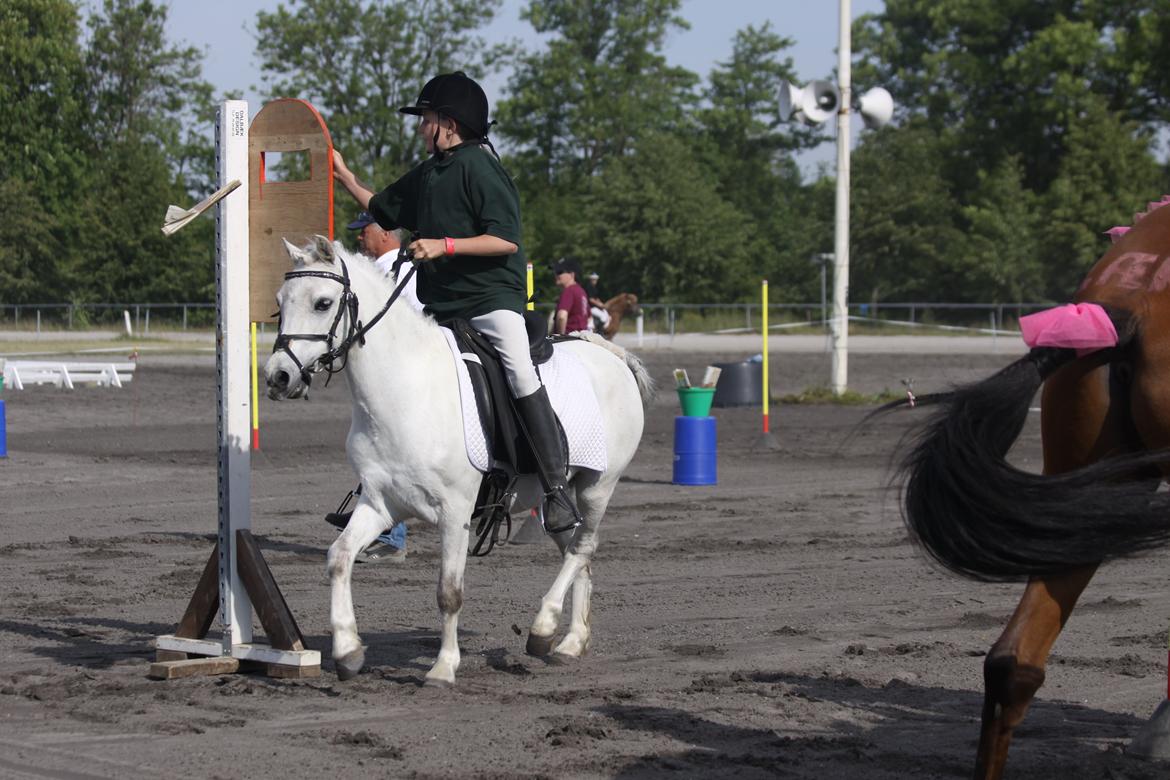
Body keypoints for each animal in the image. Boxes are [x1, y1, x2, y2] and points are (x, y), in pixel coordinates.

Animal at [263, 236, 659, 682]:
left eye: (323, 303)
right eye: (280, 302)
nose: (278, 377)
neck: (405, 388)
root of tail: (609, 353)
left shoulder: (454, 513)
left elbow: (449, 592)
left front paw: (442, 667)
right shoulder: (381, 504)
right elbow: (339, 558)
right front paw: (348, 651)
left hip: (597, 487)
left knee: (582, 548)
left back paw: (542, 629)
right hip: (558, 503)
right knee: (578, 555)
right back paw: (571, 642)